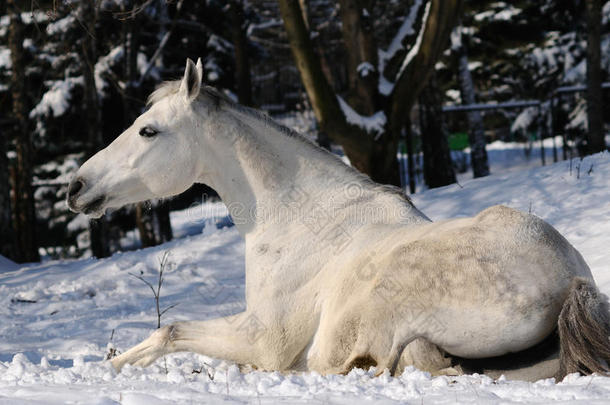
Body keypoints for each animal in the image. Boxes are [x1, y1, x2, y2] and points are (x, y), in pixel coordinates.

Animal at [67, 58, 608, 380]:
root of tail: (572, 280)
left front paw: (108, 371)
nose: (76, 186)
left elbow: (170, 331)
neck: (300, 218)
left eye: (148, 131)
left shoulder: (263, 341)